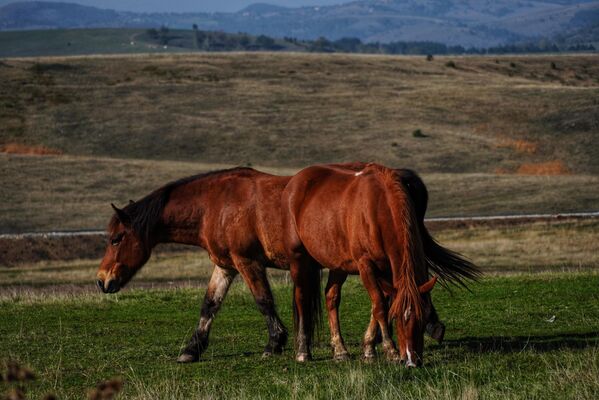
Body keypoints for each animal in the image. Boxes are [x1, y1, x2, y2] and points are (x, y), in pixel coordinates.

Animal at [280, 162, 440, 366]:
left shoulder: (386, 271)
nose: (412, 361)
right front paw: (390, 350)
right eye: (396, 317)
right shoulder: (366, 266)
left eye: (424, 317)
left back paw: (340, 350)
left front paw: (369, 348)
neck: (378, 209)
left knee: (331, 297)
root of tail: (294, 182)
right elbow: (380, 306)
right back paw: (302, 351)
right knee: (301, 298)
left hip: (338, 264)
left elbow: (380, 304)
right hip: (298, 259)